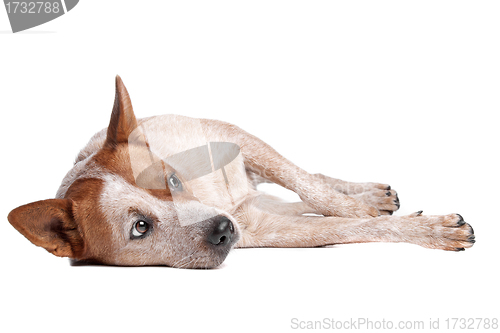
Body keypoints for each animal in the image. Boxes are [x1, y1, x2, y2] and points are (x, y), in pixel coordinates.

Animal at [8, 75, 476, 268]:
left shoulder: (234, 137)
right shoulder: (263, 230)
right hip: (257, 204)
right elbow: (342, 225)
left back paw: (371, 195)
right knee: (294, 200)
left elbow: (317, 192)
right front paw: (429, 229)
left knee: (310, 179)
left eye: (172, 181)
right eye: (140, 227)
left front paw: (367, 208)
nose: (222, 228)